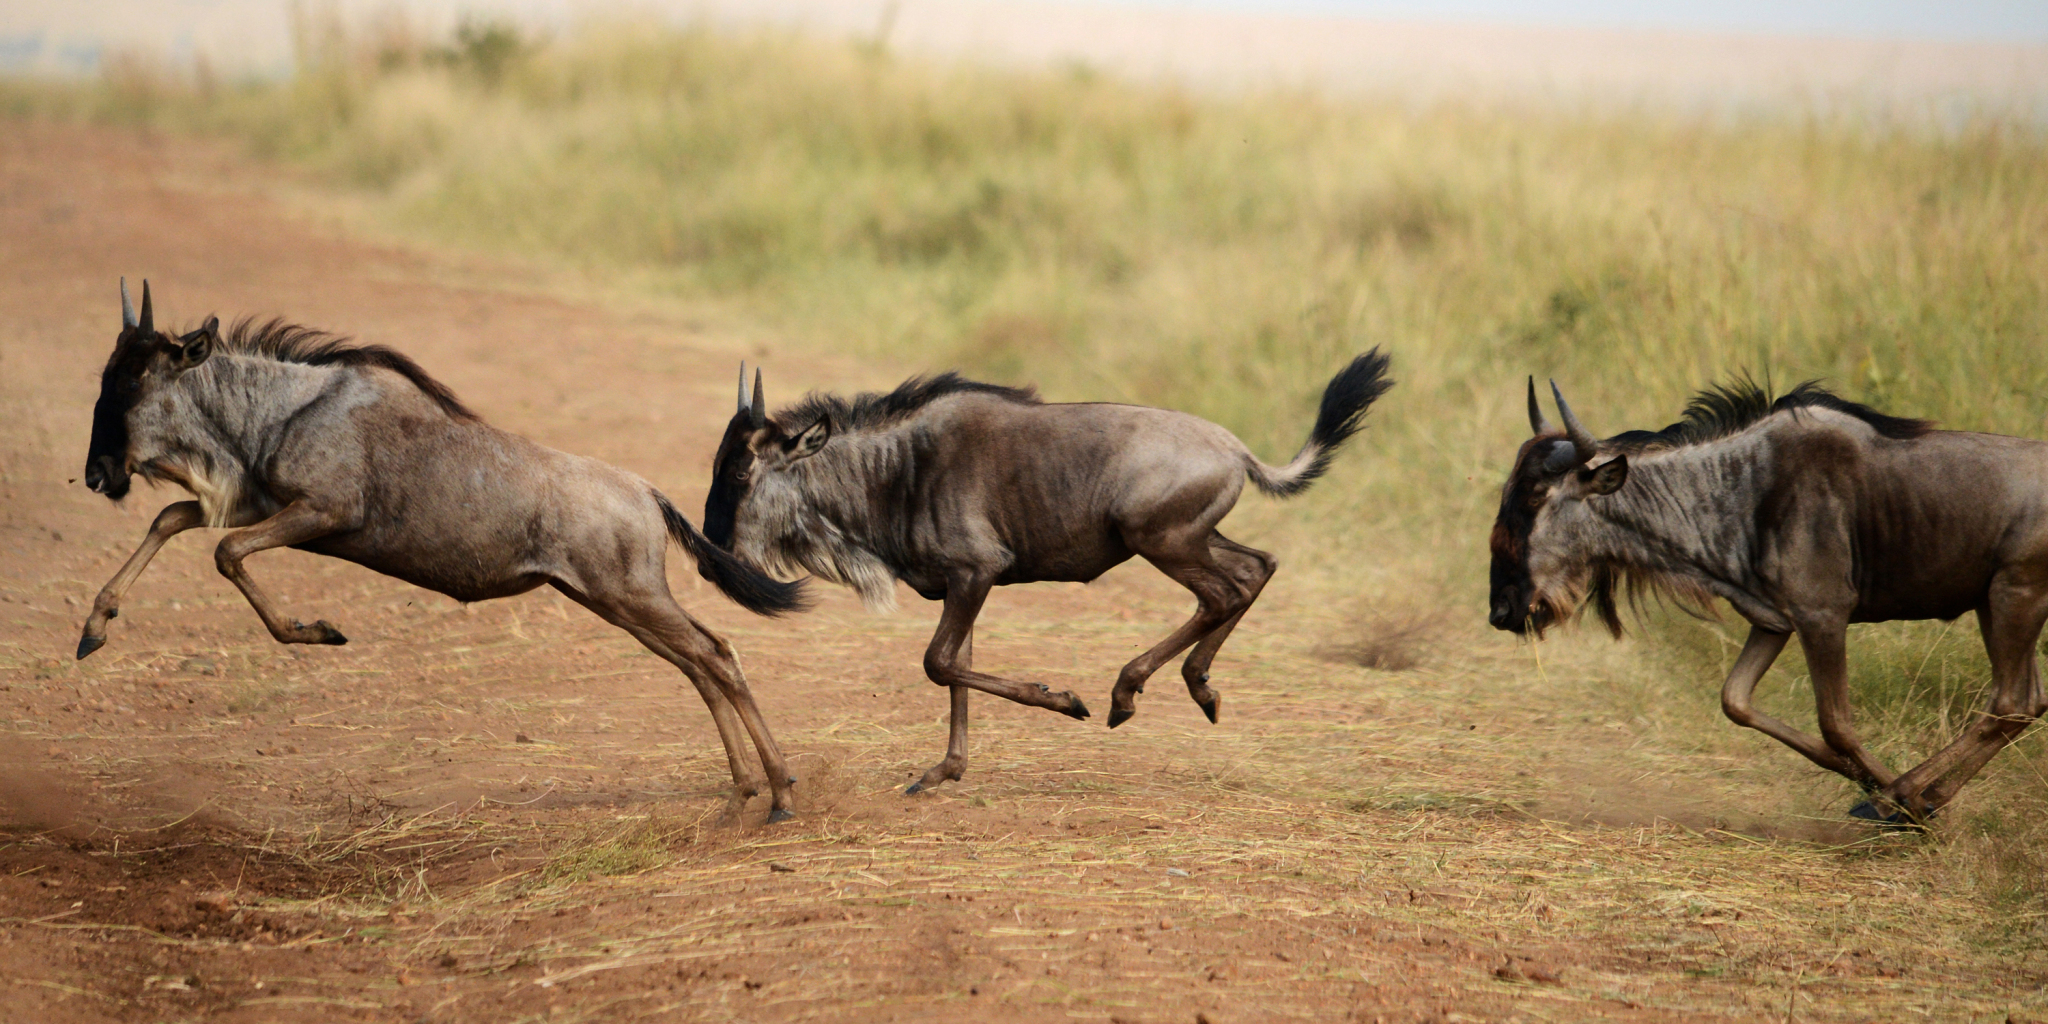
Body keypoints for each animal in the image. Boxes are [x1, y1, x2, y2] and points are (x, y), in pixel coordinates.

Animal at [86, 280, 806, 823]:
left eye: (139, 380)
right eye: (107, 375)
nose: (97, 474)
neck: (285, 410)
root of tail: (648, 494)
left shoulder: (320, 512)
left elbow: (226, 553)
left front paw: (317, 631)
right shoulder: (265, 502)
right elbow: (170, 520)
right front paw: (94, 627)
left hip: (630, 595)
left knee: (716, 654)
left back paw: (777, 792)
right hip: (614, 601)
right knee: (698, 665)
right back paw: (743, 793)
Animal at [700, 356, 1392, 794]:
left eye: (741, 472)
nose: (709, 555)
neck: (897, 469)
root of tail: (1236, 450)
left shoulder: (977, 570)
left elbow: (938, 664)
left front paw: (1065, 700)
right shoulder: (961, 583)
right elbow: (956, 669)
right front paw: (944, 772)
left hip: (1160, 540)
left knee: (1224, 591)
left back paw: (1126, 692)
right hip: (1194, 537)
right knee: (1256, 569)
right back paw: (1200, 688)